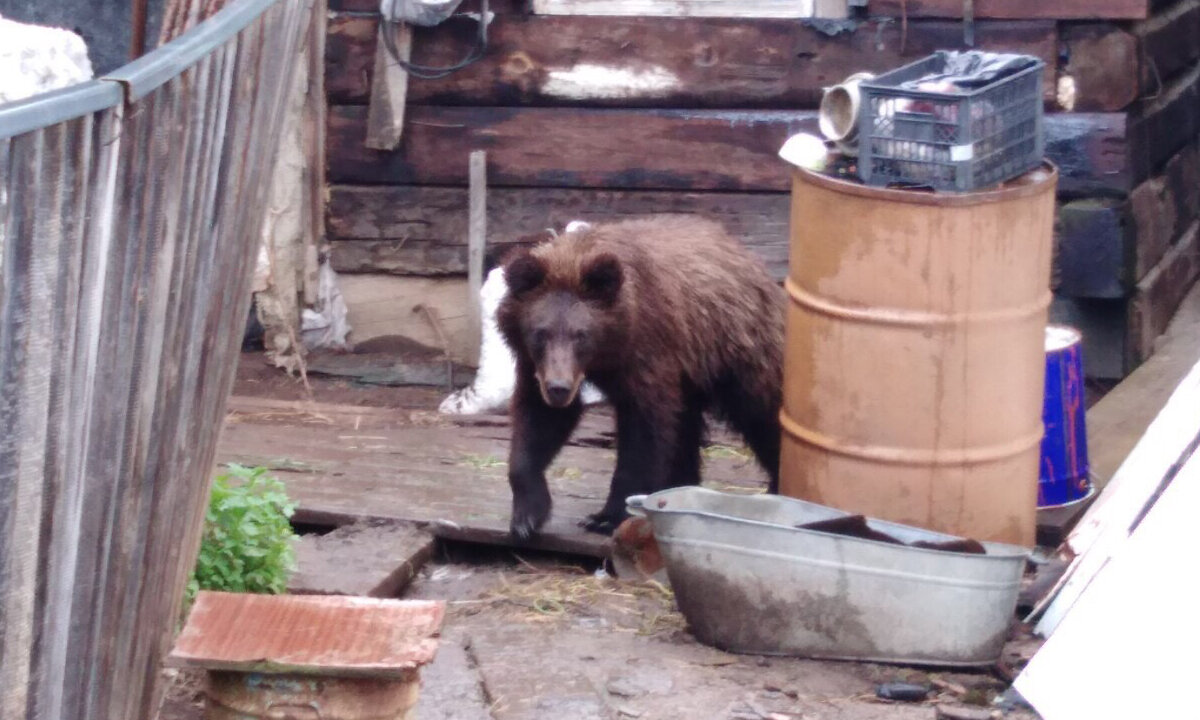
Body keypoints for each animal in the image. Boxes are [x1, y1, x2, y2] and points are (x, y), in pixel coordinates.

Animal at [496, 216, 787, 537]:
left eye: (580, 335)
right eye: (540, 333)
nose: (558, 388)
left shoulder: (647, 354)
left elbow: (643, 434)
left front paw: (606, 517)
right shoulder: (535, 365)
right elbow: (537, 421)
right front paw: (527, 516)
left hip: (737, 349)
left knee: (762, 413)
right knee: (684, 428)